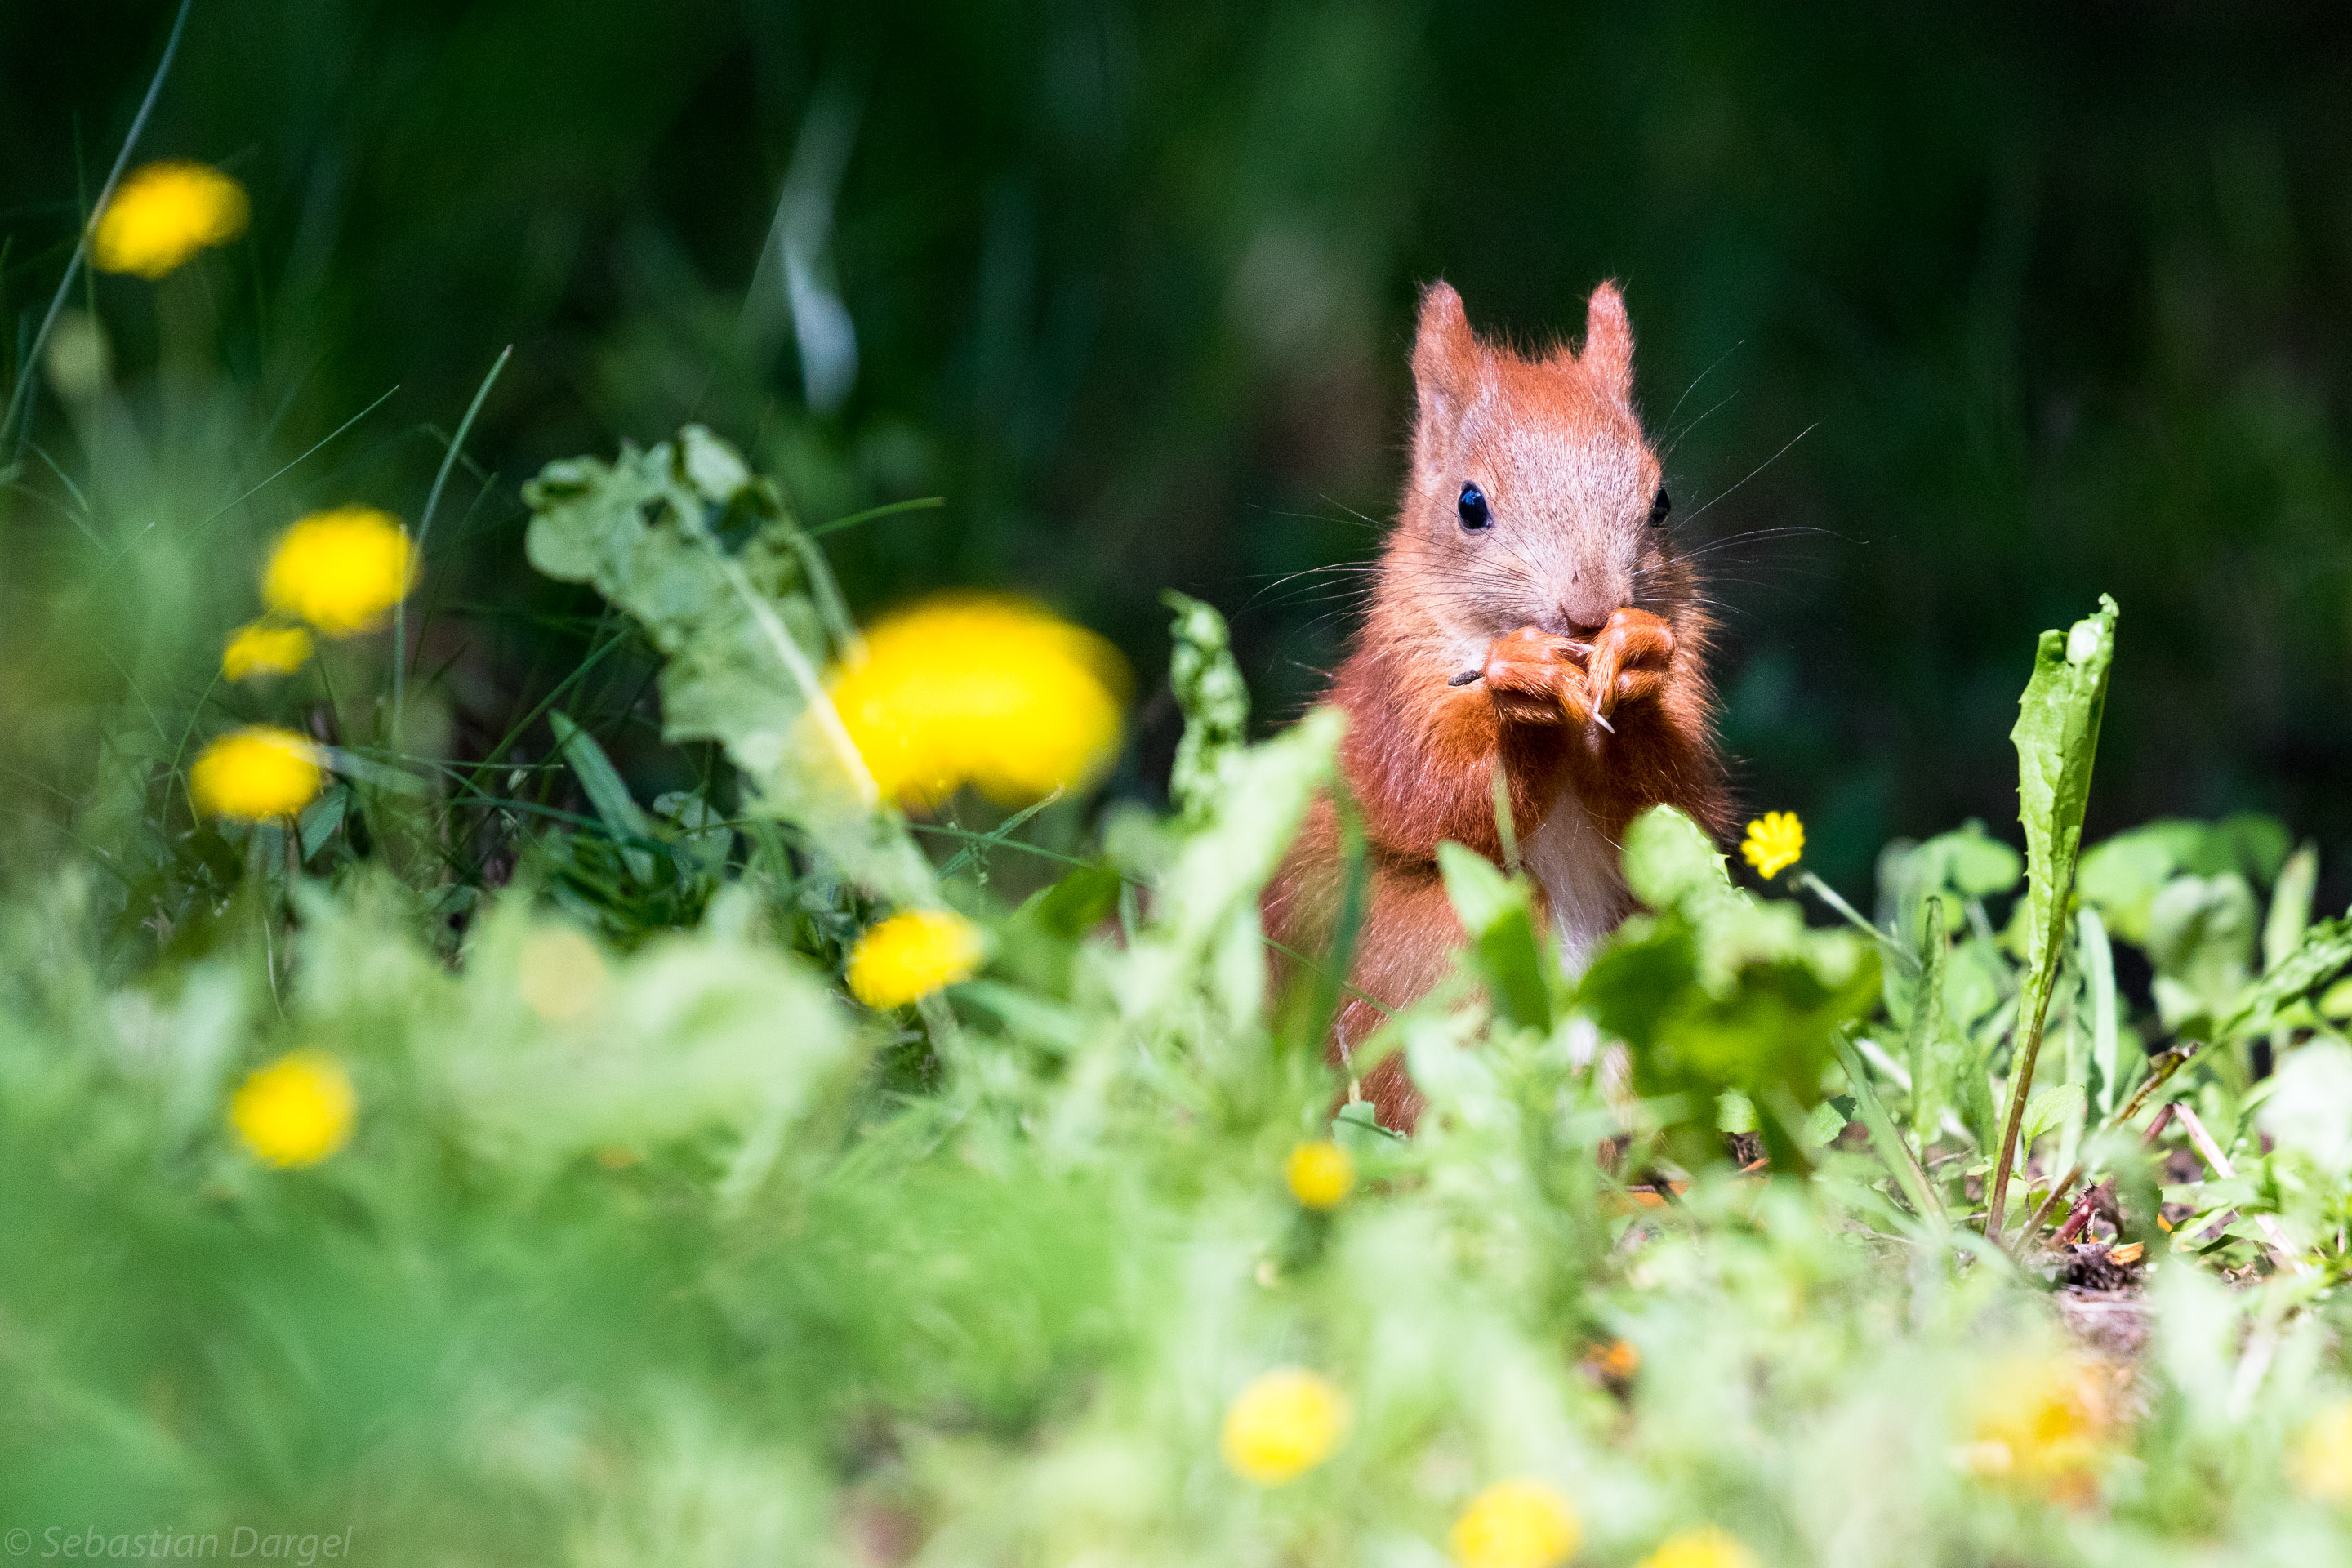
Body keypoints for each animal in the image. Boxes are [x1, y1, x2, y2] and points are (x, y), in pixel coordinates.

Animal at [1270, 272, 1731, 1128]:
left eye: (1662, 500)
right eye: (1469, 505)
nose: (1591, 611)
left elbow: (1674, 802)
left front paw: (1636, 662)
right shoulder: (1391, 703)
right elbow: (1429, 794)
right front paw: (1522, 686)